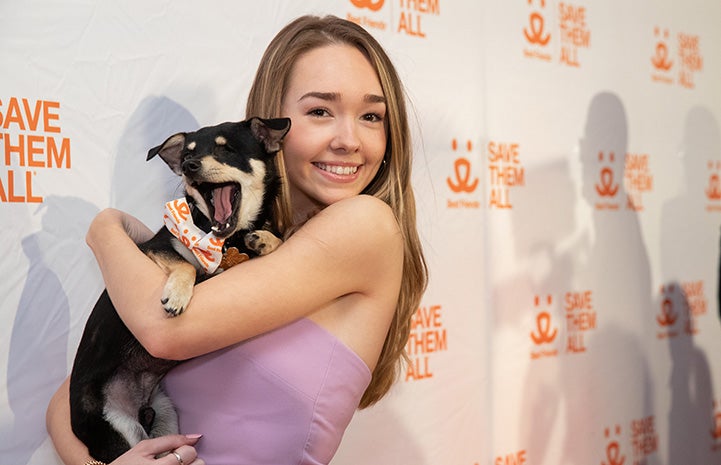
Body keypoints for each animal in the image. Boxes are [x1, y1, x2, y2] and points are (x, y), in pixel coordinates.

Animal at [68, 116, 290, 460]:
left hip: (166, 417)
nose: (189, 166)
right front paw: (177, 295)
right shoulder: (153, 248)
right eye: (187, 153)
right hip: (118, 432)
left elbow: (269, 241)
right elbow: (185, 265)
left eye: (227, 150)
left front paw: (266, 239)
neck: (224, 239)